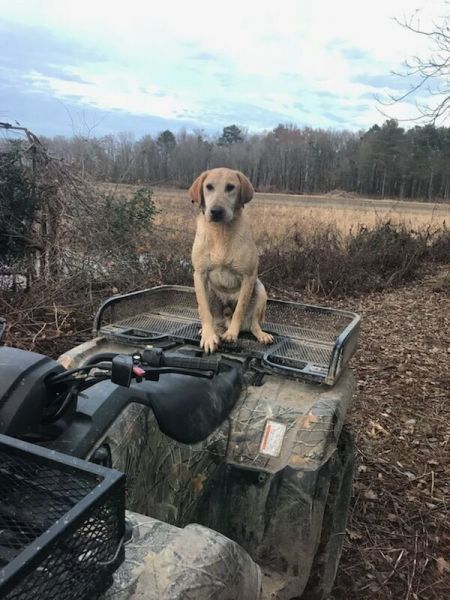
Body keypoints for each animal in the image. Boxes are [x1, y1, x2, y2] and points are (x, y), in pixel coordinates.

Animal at [188, 166, 272, 354]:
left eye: (230, 187)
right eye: (209, 187)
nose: (216, 211)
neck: (220, 233)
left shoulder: (248, 276)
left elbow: (240, 310)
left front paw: (232, 334)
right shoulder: (199, 275)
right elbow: (205, 312)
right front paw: (208, 337)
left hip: (260, 289)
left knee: (253, 324)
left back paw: (260, 335)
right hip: (208, 292)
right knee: (214, 320)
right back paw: (210, 330)